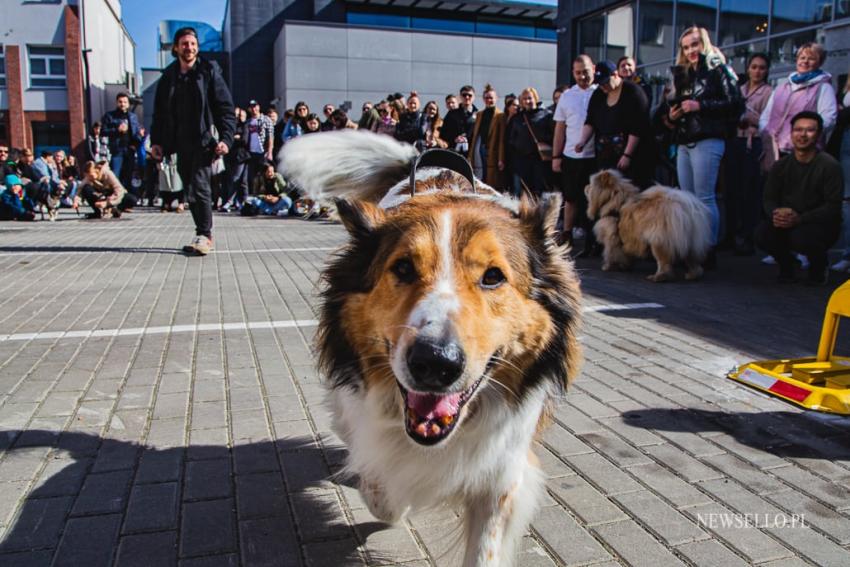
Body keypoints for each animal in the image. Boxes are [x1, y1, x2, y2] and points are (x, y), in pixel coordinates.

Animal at [282, 132, 580, 564]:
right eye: (403, 267)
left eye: (494, 276)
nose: (435, 364)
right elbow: (384, 492)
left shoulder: (500, 475)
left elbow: (484, 548)